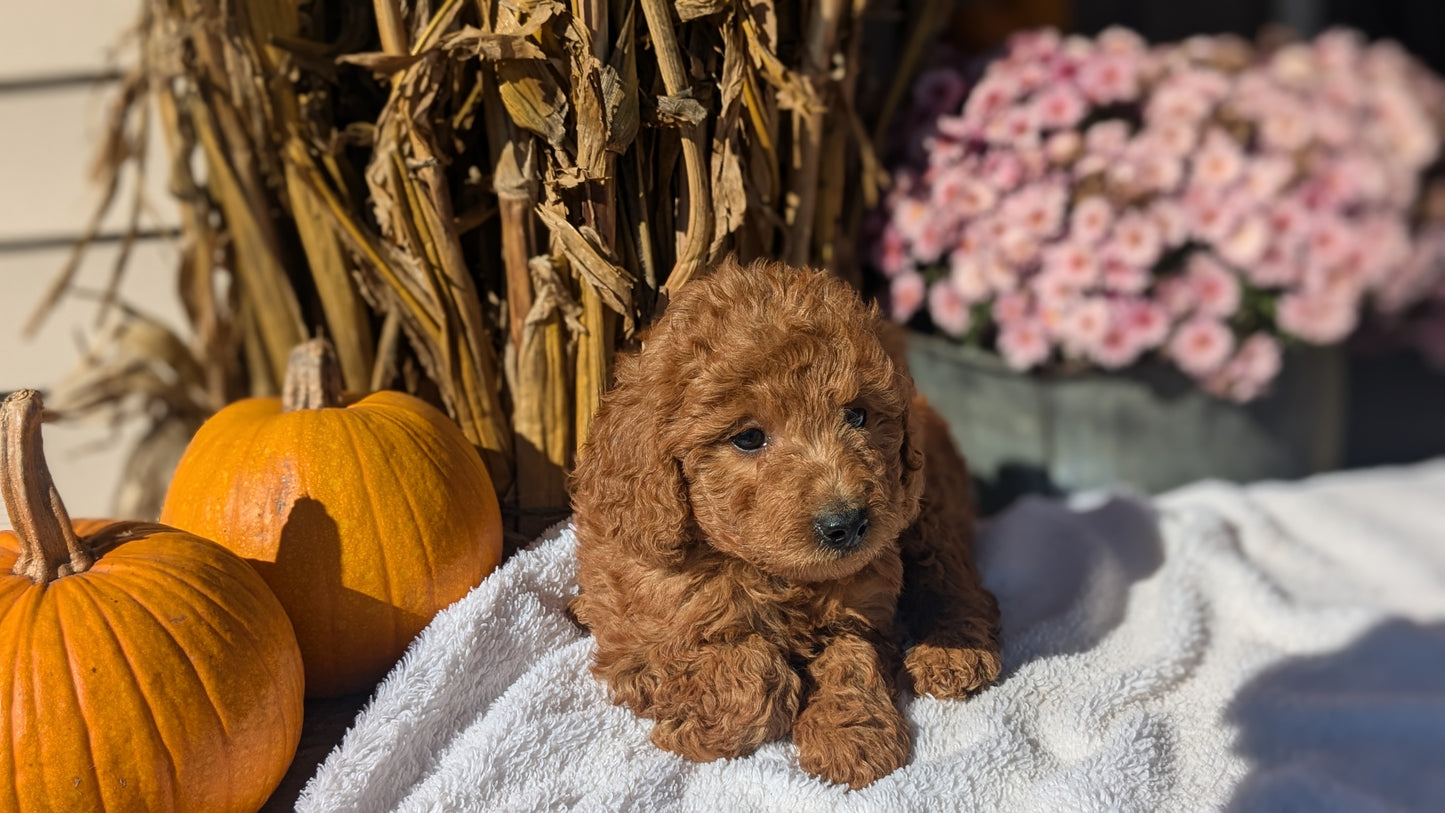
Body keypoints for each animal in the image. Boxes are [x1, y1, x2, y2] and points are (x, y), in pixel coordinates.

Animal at [569, 259, 999, 791]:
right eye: (749, 438)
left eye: (857, 415)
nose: (847, 524)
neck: (775, 575)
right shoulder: (641, 642)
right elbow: (755, 673)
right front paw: (705, 730)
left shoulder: (863, 607)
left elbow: (851, 661)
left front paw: (851, 739)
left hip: (926, 509)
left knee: (955, 577)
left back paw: (953, 652)